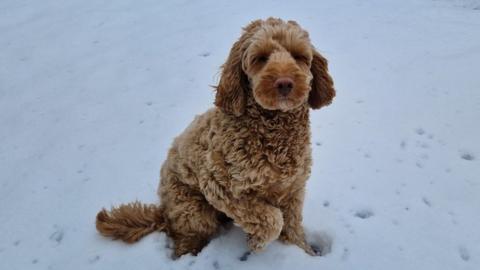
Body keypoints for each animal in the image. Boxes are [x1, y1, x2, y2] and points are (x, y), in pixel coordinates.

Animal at [95, 17, 336, 258]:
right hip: (193, 209)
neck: (274, 131)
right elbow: (272, 219)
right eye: (260, 58)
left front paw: (303, 251)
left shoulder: (293, 189)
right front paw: (257, 242)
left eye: (298, 56)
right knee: (185, 238)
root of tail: (163, 211)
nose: (285, 83)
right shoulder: (219, 187)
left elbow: (292, 225)